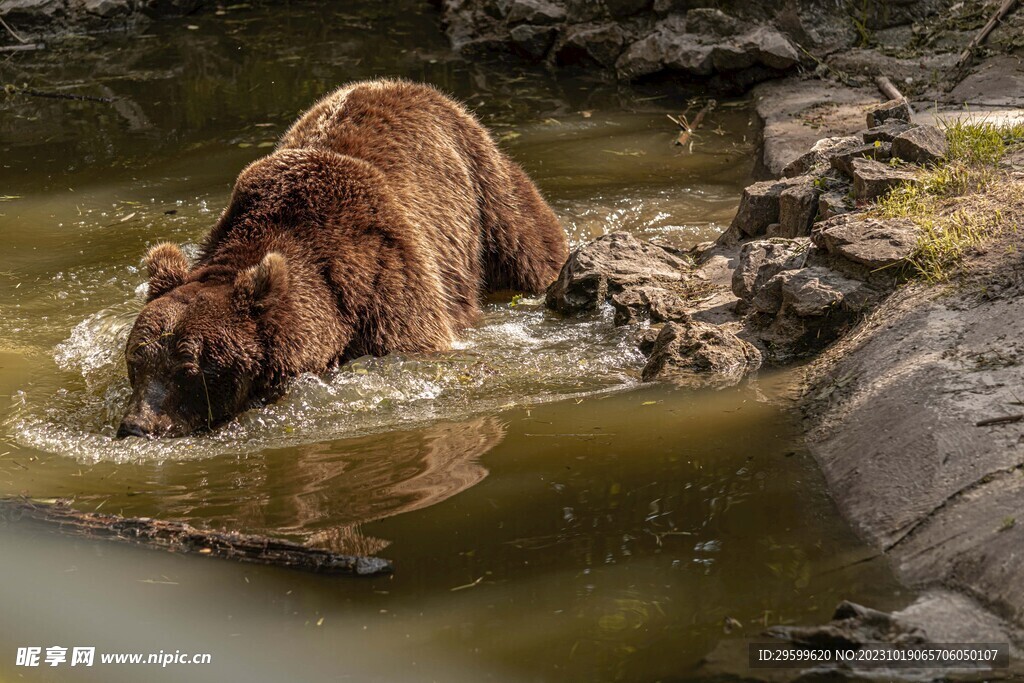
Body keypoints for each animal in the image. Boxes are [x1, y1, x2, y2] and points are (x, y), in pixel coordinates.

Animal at [120, 78, 573, 438]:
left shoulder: (385, 280)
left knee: (529, 244)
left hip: (485, 191)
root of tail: (407, 85)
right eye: (136, 359)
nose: (137, 426)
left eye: (189, 368)